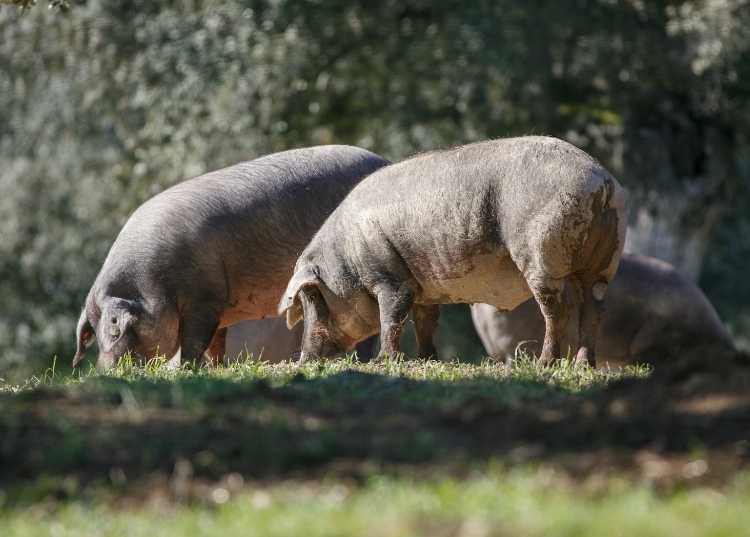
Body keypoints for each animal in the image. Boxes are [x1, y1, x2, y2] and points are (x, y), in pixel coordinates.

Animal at [75, 144, 394, 366]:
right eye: (93, 330)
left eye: (114, 328)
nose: (105, 368)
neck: (154, 282)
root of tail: (386, 161)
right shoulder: (219, 310)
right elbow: (216, 343)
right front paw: (216, 367)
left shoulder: (204, 300)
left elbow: (195, 341)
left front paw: (186, 368)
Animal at [280, 136, 628, 366]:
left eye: (313, 298)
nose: (303, 359)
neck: (347, 258)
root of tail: (603, 183)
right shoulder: (423, 287)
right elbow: (425, 321)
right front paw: (426, 360)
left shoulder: (390, 278)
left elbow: (391, 318)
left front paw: (384, 361)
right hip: (603, 262)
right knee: (594, 309)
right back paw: (584, 364)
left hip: (542, 254)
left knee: (558, 311)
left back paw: (545, 364)